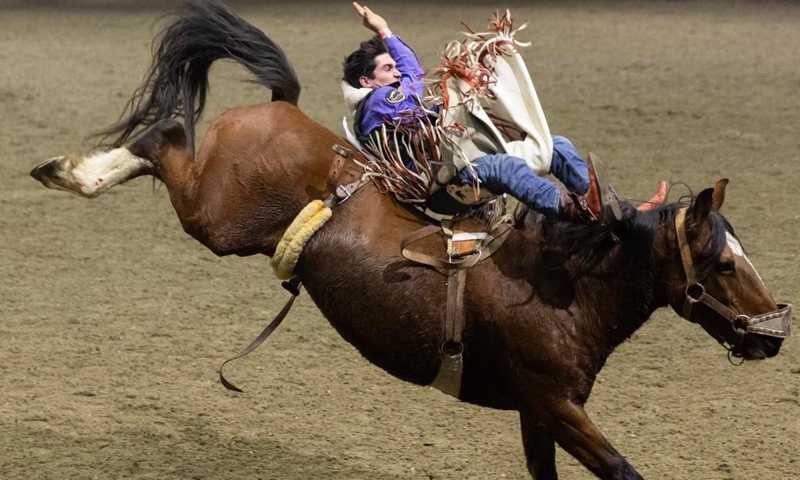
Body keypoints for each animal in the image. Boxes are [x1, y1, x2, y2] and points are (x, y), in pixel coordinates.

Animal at [28, 1, 792, 478]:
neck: (566, 287)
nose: (775, 332)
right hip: (214, 216)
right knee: (163, 139)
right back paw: (69, 171)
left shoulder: (538, 413)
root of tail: (281, 109)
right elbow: (623, 470)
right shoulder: (554, 403)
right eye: (722, 264)